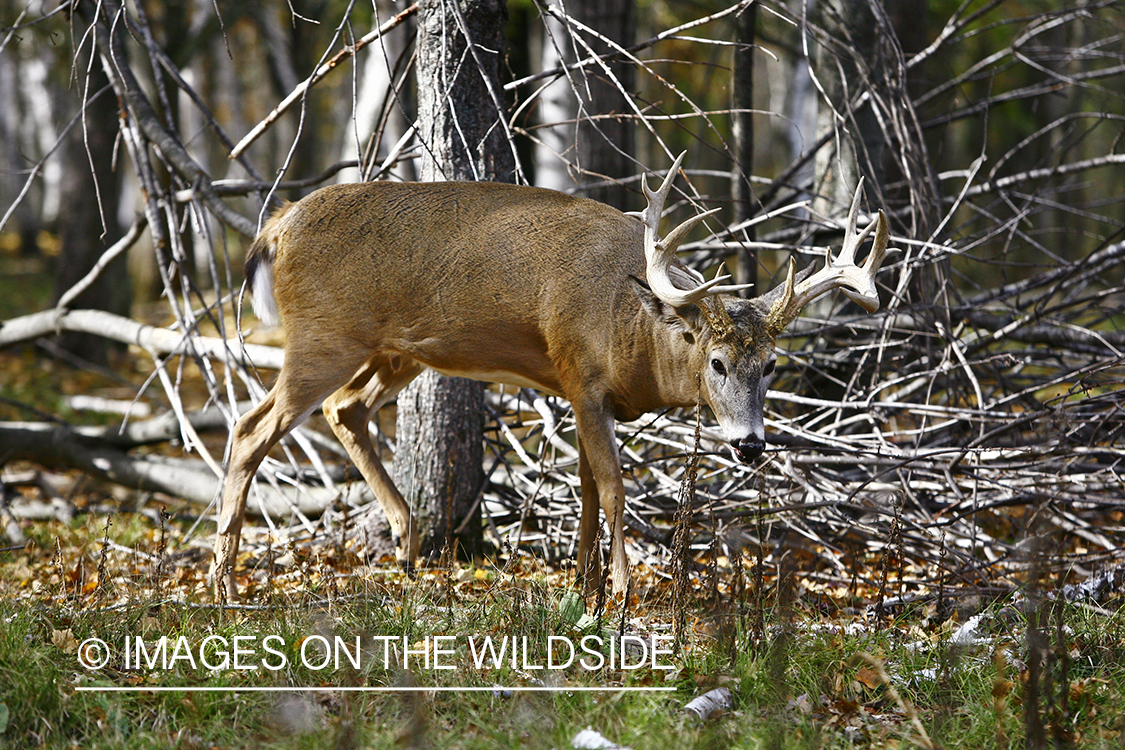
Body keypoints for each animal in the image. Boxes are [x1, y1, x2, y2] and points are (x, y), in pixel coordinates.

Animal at [212, 152, 886, 598]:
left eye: (771, 365)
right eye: (716, 361)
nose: (750, 445)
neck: (628, 326)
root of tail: (276, 227)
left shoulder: (582, 392)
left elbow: (586, 489)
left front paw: (585, 583)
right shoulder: (579, 375)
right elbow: (613, 488)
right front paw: (620, 592)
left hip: (396, 351)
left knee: (344, 409)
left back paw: (406, 547)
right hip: (324, 337)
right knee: (250, 428)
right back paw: (224, 583)